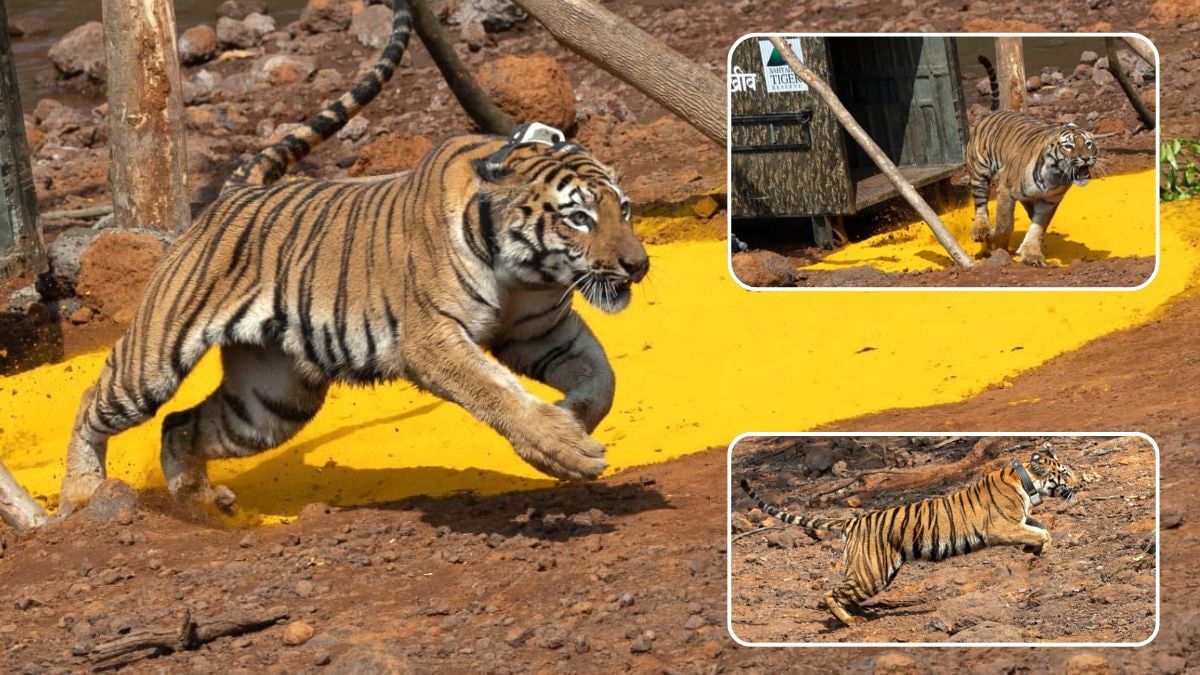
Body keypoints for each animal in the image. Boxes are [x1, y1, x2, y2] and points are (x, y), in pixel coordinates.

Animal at [58, 0, 648, 515]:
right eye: (579, 217)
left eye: (623, 208)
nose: (638, 265)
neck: (525, 274)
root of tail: (236, 191)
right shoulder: (433, 339)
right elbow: (495, 391)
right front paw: (564, 447)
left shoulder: (542, 331)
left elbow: (603, 379)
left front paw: (574, 422)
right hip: (154, 358)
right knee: (92, 401)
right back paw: (82, 497)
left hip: (270, 401)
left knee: (181, 425)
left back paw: (198, 503)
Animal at [737, 444, 1080, 626]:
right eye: (1064, 472)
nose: (1080, 483)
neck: (1027, 484)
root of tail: (852, 523)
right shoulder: (1001, 527)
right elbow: (1039, 533)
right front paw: (1039, 550)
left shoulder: (1022, 519)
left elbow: (1041, 528)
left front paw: (1034, 550)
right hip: (872, 572)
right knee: (830, 593)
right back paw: (849, 621)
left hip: (873, 571)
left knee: (843, 590)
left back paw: (858, 612)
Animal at [968, 55, 1099, 267]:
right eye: (1068, 146)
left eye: (1088, 144)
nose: (1086, 158)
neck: (1054, 176)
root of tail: (989, 114)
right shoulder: (1005, 189)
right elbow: (1004, 223)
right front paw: (996, 244)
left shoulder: (1049, 201)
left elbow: (1037, 227)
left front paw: (1031, 254)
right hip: (979, 172)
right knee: (980, 205)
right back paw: (981, 230)